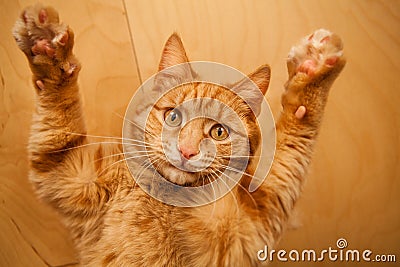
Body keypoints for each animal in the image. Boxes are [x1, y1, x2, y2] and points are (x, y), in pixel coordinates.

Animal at [12, 4, 344, 267]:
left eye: (218, 132)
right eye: (173, 116)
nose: (186, 151)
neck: (168, 198)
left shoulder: (251, 226)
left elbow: (291, 140)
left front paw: (313, 73)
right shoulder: (69, 172)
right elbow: (59, 106)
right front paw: (47, 45)